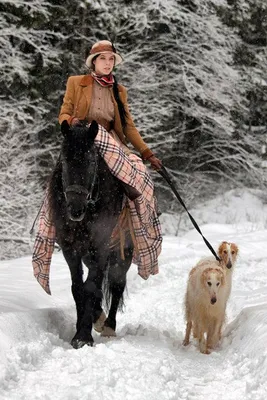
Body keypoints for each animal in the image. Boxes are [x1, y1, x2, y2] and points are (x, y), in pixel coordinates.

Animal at [48, 120, 134, 348]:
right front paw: (80, 331)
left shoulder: (101, 248)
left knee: (116, 284)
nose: (75, 209)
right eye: (65, 160)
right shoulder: (71, 250)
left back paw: (109, 326)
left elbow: (92, 288)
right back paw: (99, 317)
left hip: (122, 254)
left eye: (91, 161)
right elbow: (78, 288)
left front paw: (83, 336)